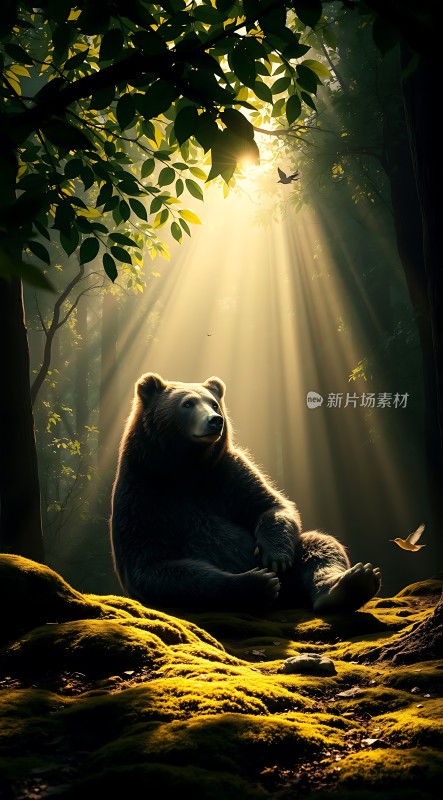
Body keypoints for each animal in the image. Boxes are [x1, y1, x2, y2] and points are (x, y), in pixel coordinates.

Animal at [110, 373, 381, 614]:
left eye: (213, 402)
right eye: (187, 403)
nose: (215, 420)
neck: (188, 469)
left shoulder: (229, 473)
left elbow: (270, 504)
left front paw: (275, 557)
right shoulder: (144, 494)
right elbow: (154, 564)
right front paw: (258, 582)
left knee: (320, 545)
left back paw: (353, 581)